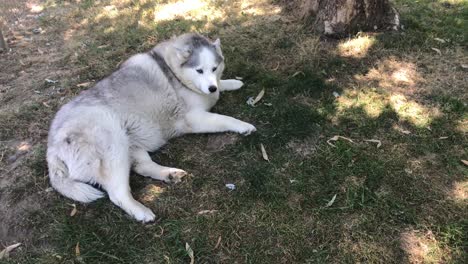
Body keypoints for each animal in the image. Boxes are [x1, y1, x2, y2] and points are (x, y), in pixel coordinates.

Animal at [47, 33, 256, 223]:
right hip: (112, 140)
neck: (173, 72)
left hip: (129, 142)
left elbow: (223, 85)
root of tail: (51, 147)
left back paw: (169, 174)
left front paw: (231, 83)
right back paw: (141, 212)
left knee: (142, 166)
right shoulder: (193, 118)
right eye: (199, 71)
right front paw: (243, 125)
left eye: (214, 68)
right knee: (117, 193)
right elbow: (225, 119)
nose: (212, 88)